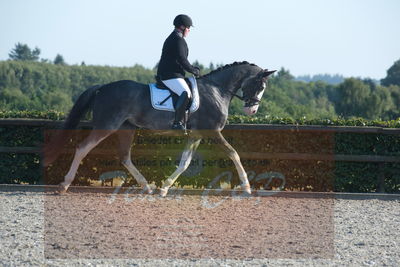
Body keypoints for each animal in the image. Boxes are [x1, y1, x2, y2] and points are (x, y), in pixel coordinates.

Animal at [43, 62, 276, 197]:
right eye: (260, 86)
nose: (252, 109)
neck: (217, 90)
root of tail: (102, 87)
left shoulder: (196, 135)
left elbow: (185, 162)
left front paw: (164, 188)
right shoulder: (212, 131)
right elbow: (234, 153)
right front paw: (246, 186)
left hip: (126, 128)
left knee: (124, 156)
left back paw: (147, 187)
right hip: (107, 125)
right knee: (82, 148)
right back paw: (64, 185)